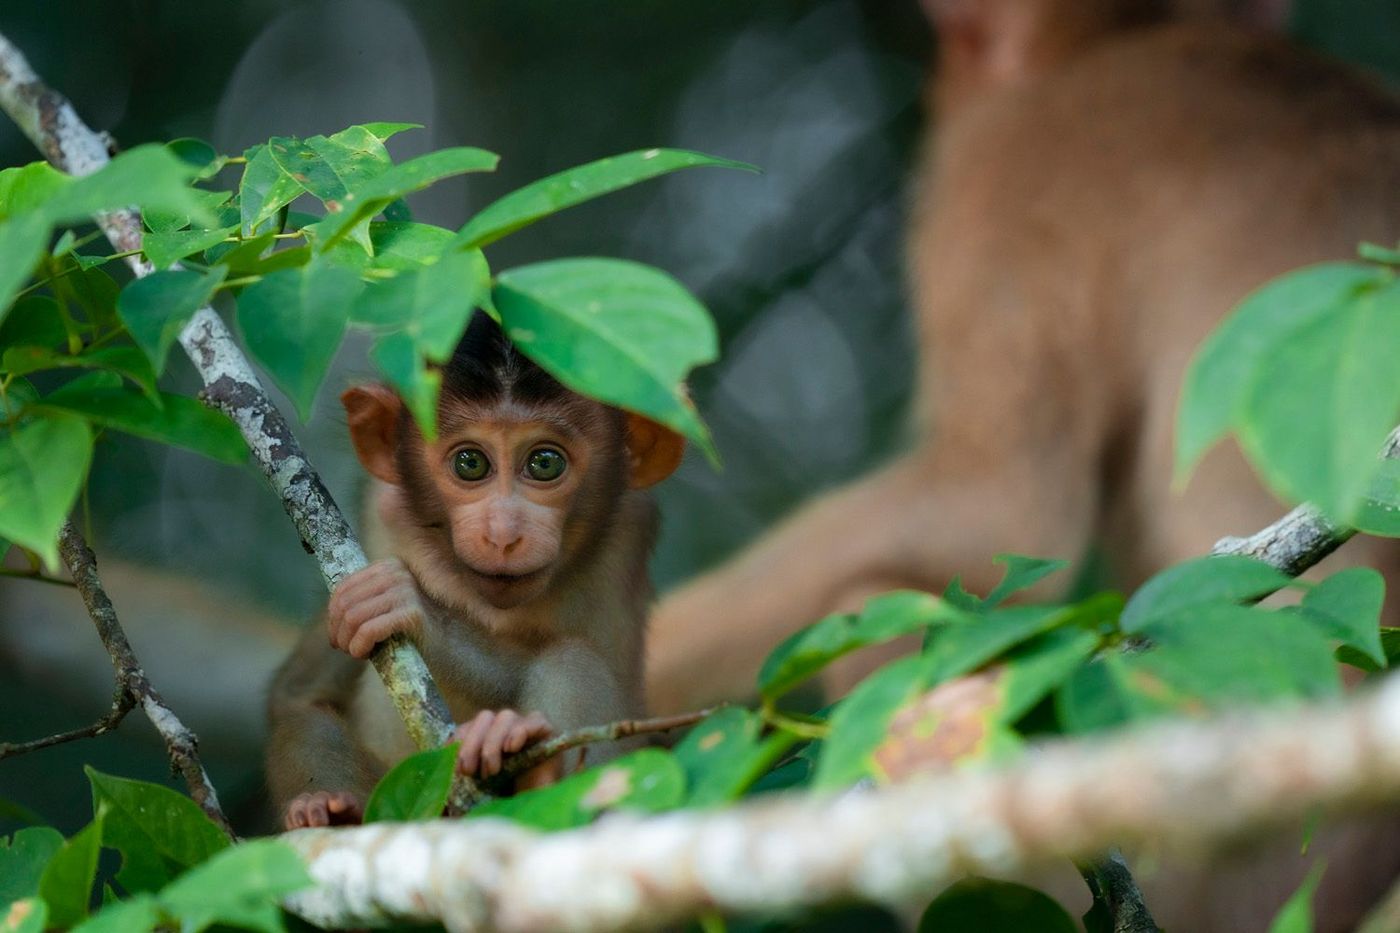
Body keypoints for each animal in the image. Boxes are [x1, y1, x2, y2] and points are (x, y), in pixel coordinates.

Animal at [265, 310, 684, 829]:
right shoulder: (376, 516)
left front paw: (417, 613)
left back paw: (527, 762)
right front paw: (324, 805)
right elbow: (301, 695)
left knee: (573, 660)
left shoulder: (628, 534)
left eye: (545, 463)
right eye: (470, 462)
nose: (502, 534)